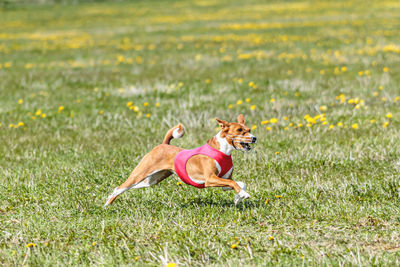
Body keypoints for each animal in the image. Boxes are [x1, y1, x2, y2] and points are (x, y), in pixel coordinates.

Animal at [104, 114, 258, 206]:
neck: (223, 151)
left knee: (126, 188)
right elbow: (233, 183)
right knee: (120, 187)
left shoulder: (223, 180)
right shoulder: (210, 179)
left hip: (152, 180)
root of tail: (163, 145)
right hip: (140, 173)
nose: (254, 138)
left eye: (249, 129)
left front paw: (238, 197)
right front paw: (243, 194)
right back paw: (107, 206)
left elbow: (238, 183)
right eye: (239, 130)